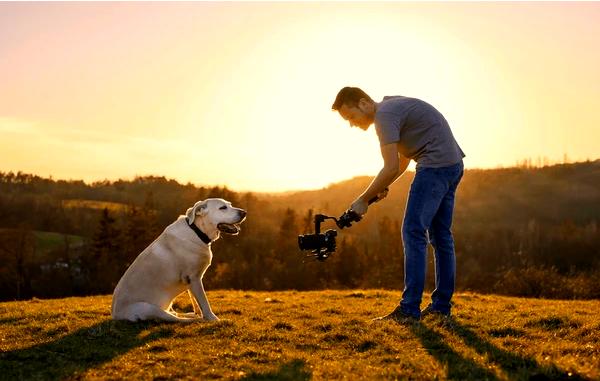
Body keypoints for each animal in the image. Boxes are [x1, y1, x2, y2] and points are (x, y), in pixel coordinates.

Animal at [111, 199, 245, 320]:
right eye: (223, 208)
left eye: (230, 205)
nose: (244, 212)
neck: (197, 231)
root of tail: (114, 314)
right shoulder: (194, 278)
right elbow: (204, 302)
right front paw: (212, 318)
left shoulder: (192, 280)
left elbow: (195, 301)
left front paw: (199, 313)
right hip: (149, 308)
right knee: (175, 319)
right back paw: (193, 319)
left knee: (174, 314)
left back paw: (190, 315)